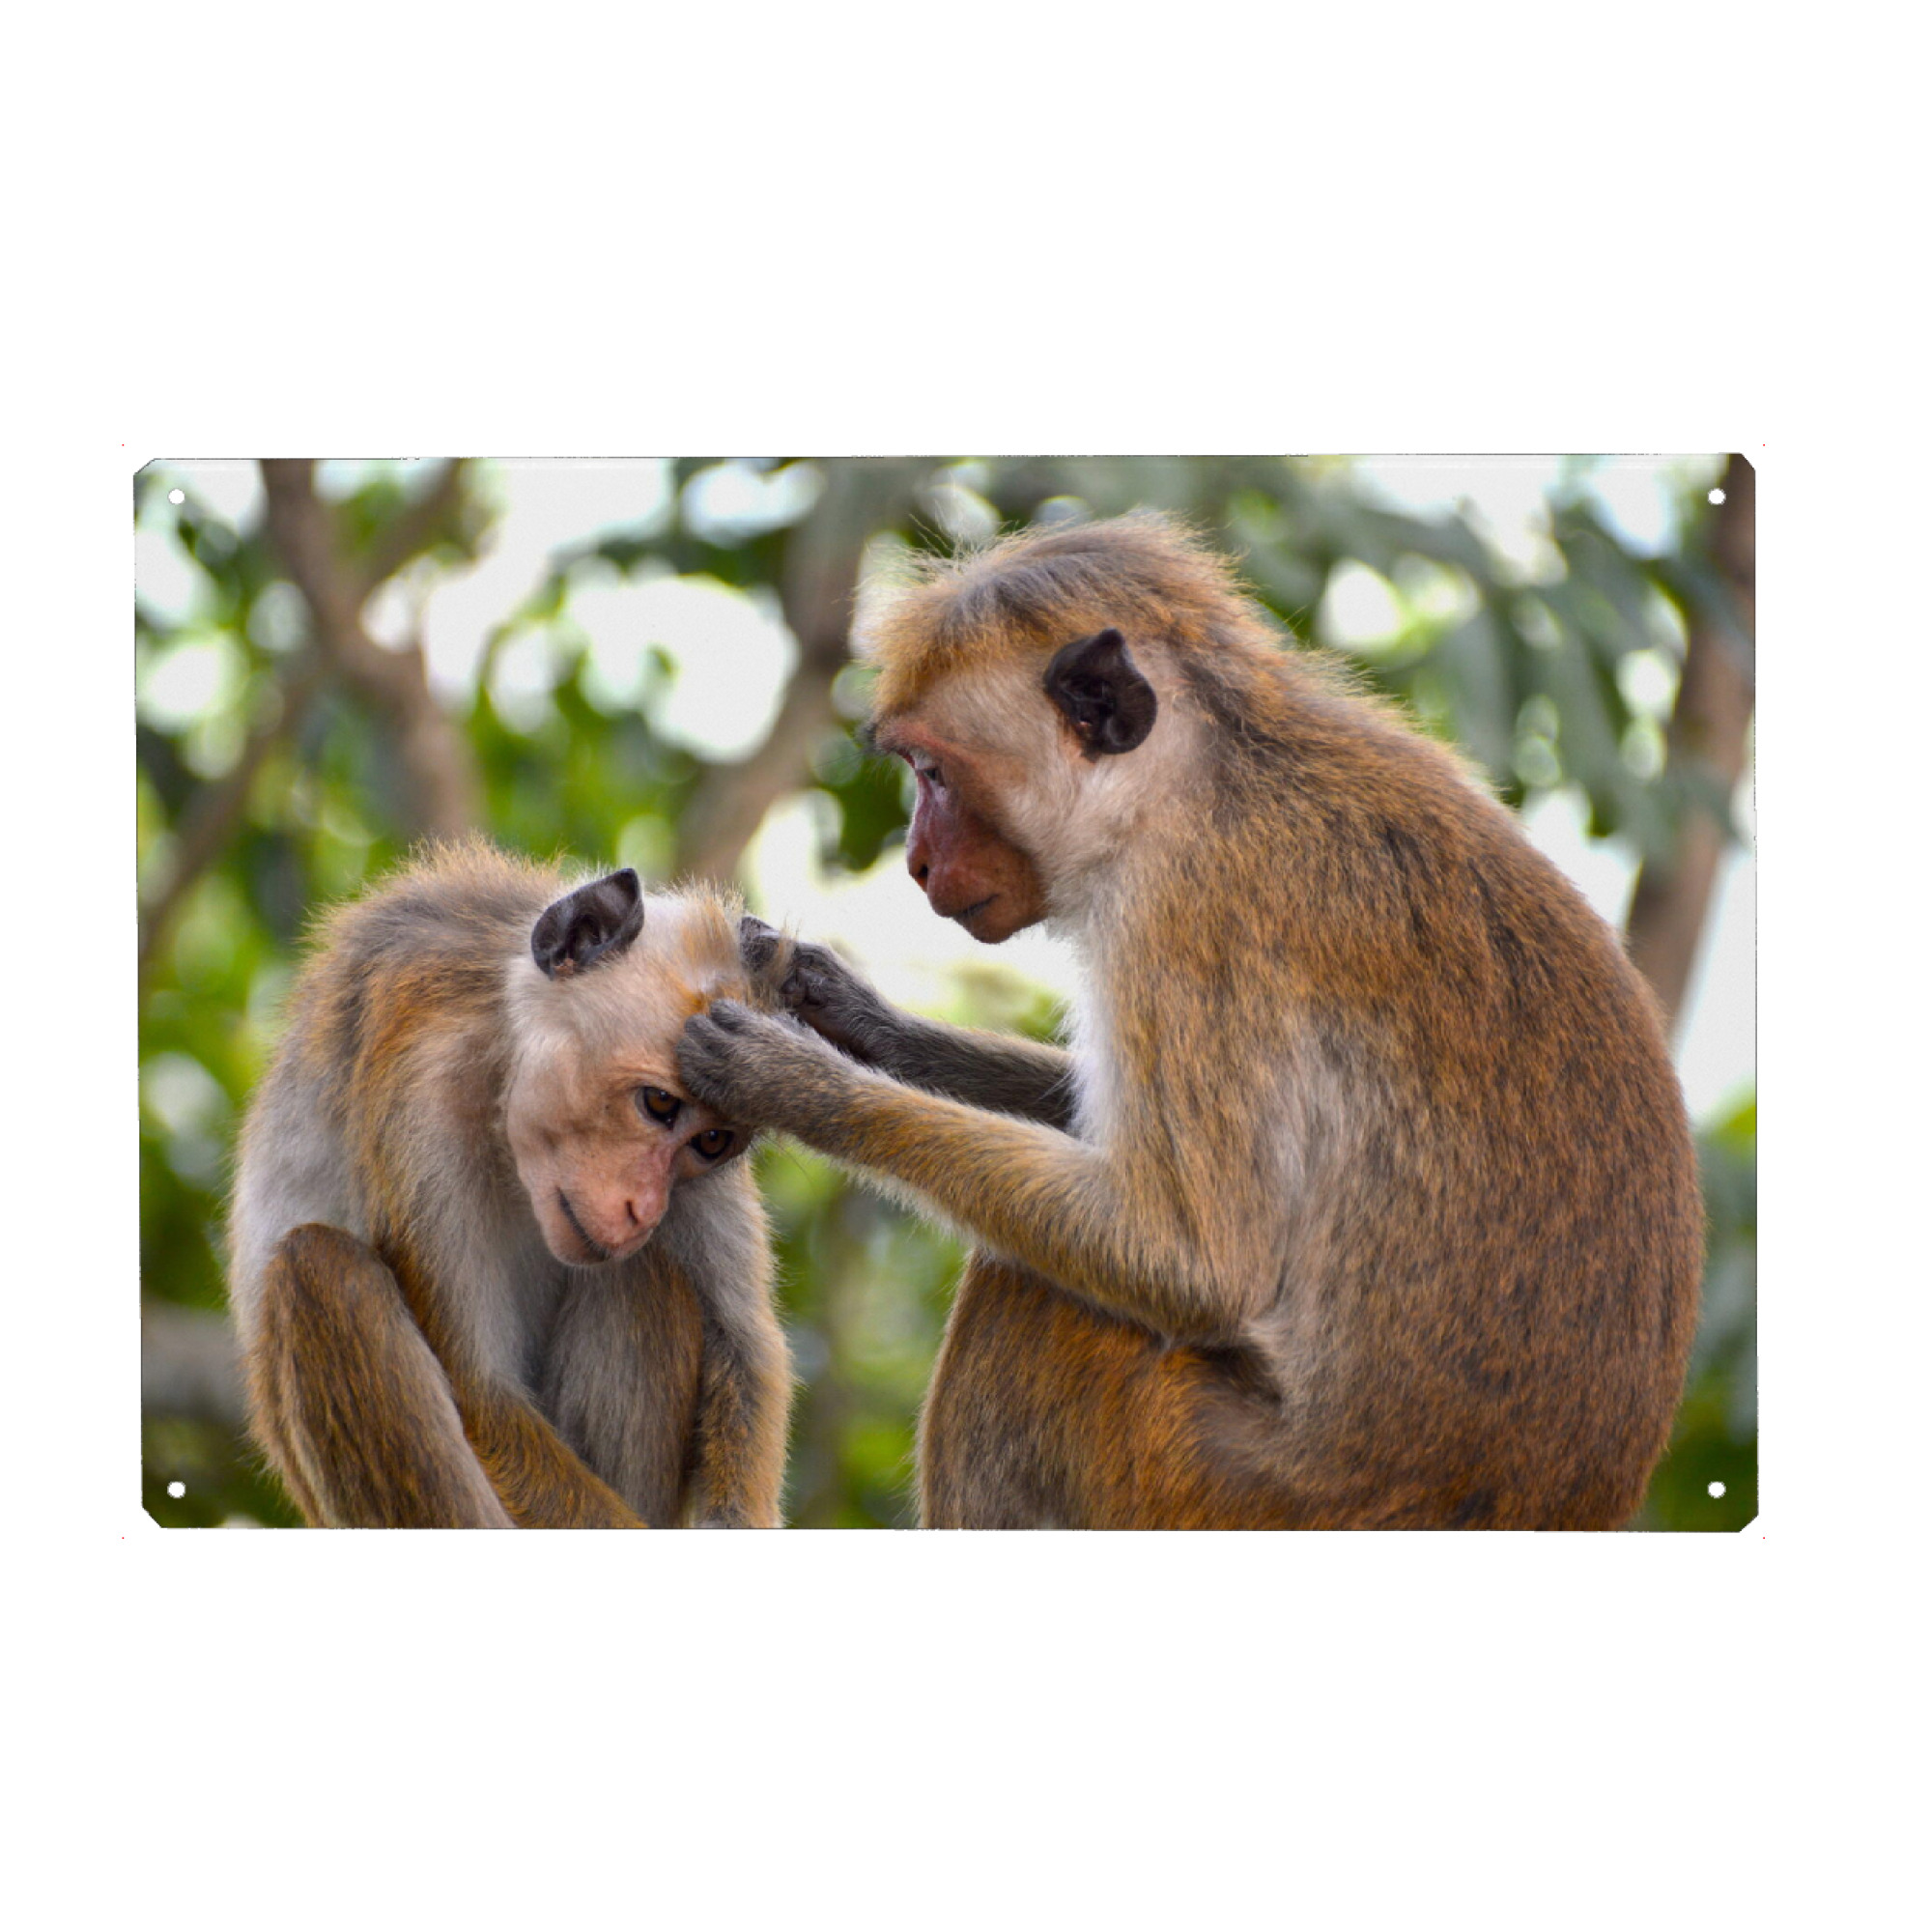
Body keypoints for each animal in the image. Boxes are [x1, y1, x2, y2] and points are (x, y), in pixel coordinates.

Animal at [227, 842, 791, 1528]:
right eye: (659, 1104)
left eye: (711, 1142)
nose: (645, 1209)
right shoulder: (423, 1091)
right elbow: (482, 1396)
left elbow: (746, 1346)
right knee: (319, 1267)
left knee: (639, 1276)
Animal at [678, 511, 1703, 1531]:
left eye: (933, 773)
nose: (918, 863)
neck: (1198, 780)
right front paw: (841, 1009)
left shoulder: (1183, 918)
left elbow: (1191, 1264)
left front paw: (798, 1083)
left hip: (1214, 1484)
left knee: (1039, 1291)